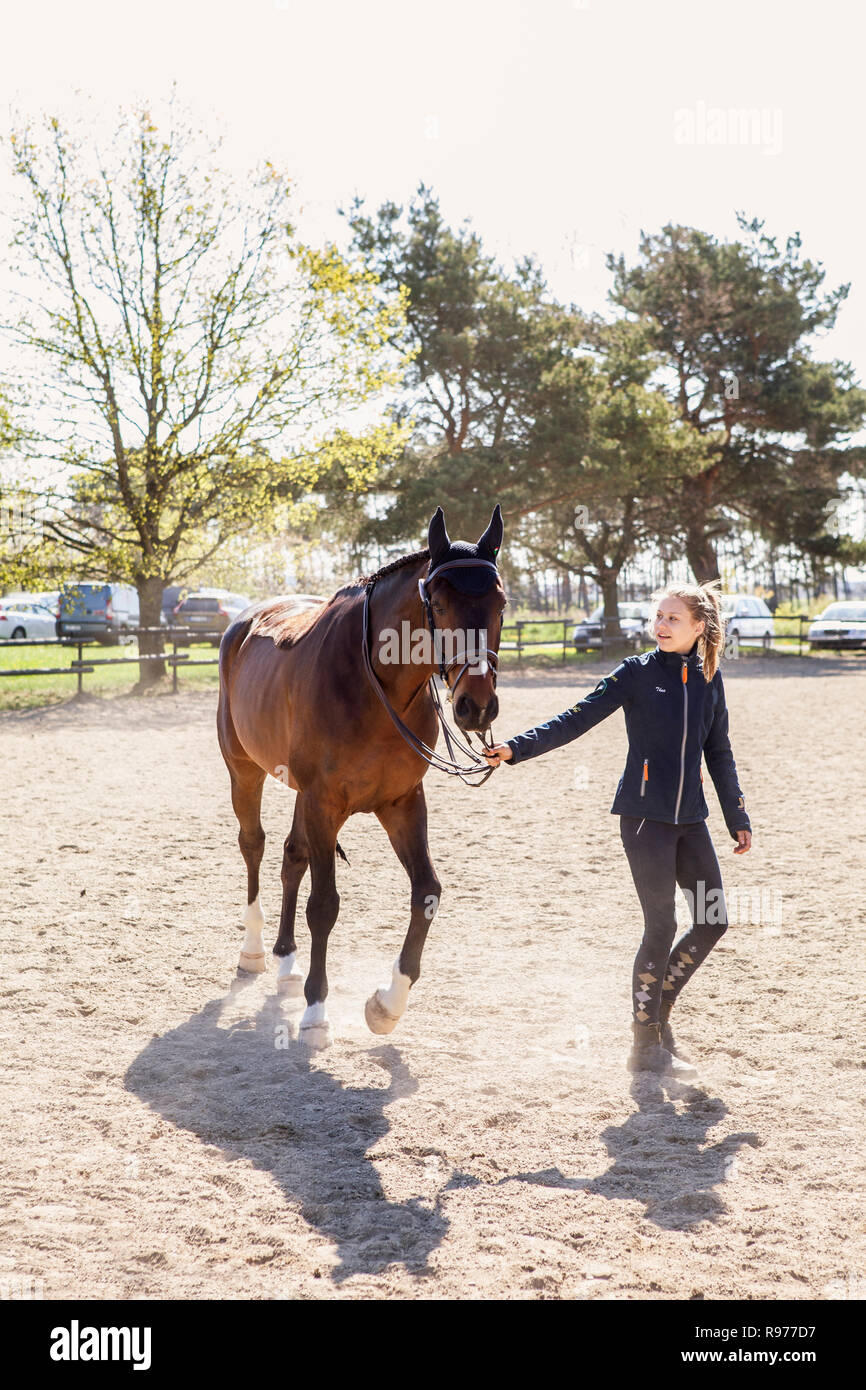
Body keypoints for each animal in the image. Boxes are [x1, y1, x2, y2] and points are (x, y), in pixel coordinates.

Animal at [214, 505, 508, 1045]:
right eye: (438, 603)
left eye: (500, 603)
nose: (476, 706)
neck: (376, 685)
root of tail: (241, 624)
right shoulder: (324, 802)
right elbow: (324, 905)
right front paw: (316, 1011)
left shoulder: (401, 802)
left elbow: (427, 892)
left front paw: (387, 1004)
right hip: (244, 772)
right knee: (254, 845)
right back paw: (255, 951)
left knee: (292, 856)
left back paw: (286, 960)